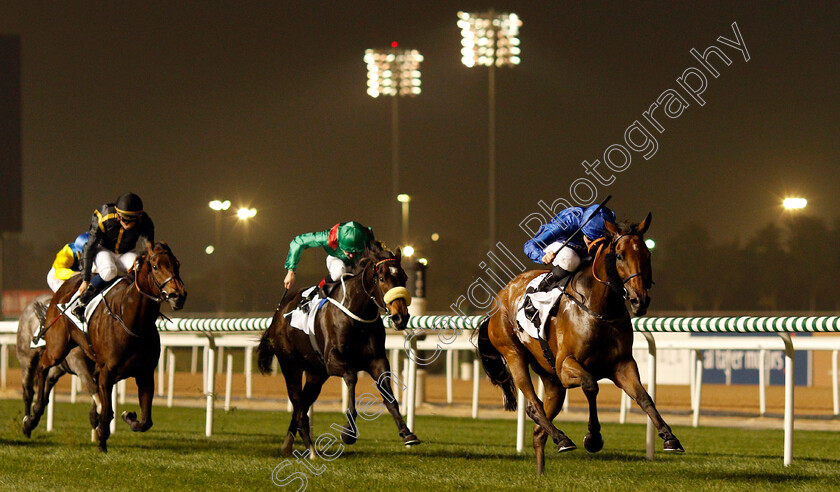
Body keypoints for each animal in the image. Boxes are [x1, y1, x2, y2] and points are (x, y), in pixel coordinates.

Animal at [17, 292, 99, 434]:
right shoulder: (77, 361)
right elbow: (92, 387)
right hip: (27, 358)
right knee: (28, 391)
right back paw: (27, 422)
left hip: (56, 366)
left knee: (47, 385)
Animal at [253, 244, 416, 460]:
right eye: (381, 278)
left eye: (404, 277)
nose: (401, 317)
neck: (356, 315)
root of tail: (278, 314)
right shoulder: (333, 361)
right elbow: (352, 378)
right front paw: (348, 432)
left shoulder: (377, 360)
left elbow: (389, 396)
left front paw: (407, 433)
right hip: (291, 367)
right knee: (299, 406)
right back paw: (311, 450)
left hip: (316, 375)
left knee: (302, 406)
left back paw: (288, 446)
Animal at [476, 213, 680, 474]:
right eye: (620, 256)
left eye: (647, 254)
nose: (639, 300)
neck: (599, 307)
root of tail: (499, 296)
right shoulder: (566, 365)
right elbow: (591, 384)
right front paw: (593, 438)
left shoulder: (622, 364)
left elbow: (644, 397)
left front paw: (669, 437)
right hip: (514, 355)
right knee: (533, 405)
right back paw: (562, 438)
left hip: (552, 379)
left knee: (539, 430)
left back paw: (542, 470)